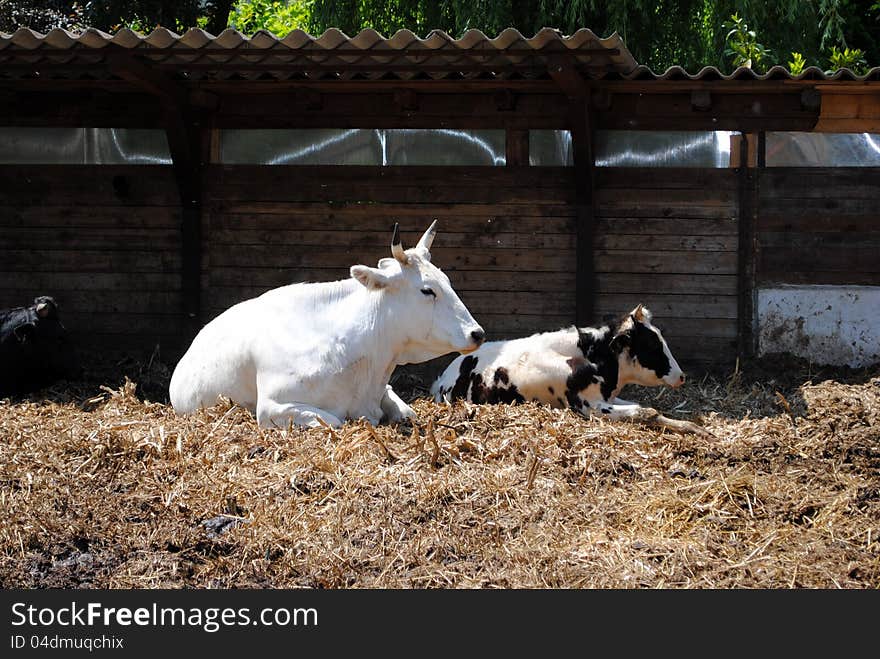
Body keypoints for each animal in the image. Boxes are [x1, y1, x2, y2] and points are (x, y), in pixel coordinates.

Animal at [168, 222, 484, 428]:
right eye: (427, 290)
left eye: (447, 281)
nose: (477, 333)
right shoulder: (272, 406)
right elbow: (335, 421)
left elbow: (408, 413)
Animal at [434, 304, 716, 438]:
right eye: (652, 345)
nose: (681, 376)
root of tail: (443, 377)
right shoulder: (589, 406)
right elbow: (645, 411)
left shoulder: (608, 397)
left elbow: (648, 409)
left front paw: (695, 429)